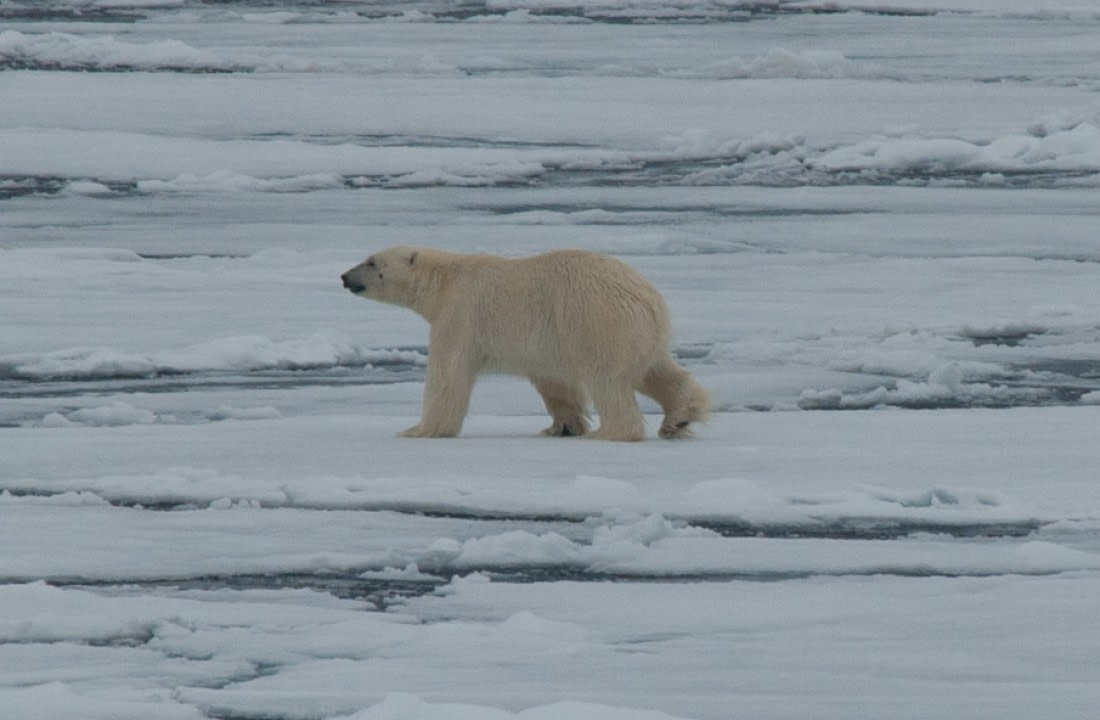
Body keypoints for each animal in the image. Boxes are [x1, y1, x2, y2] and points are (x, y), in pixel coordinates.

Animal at [341, 246, 709, 441]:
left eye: (372, 262)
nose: (345, 276)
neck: (444, 281)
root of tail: (647, 296)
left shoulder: (460, 316)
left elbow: (448, 375)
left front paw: (418, 429)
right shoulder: (545, 341)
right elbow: (554, 382)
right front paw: (561, 426)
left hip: (596, 321)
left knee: (608, 379)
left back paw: (612, 431)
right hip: (641, 332)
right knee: (658, 370)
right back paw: (679, 417)